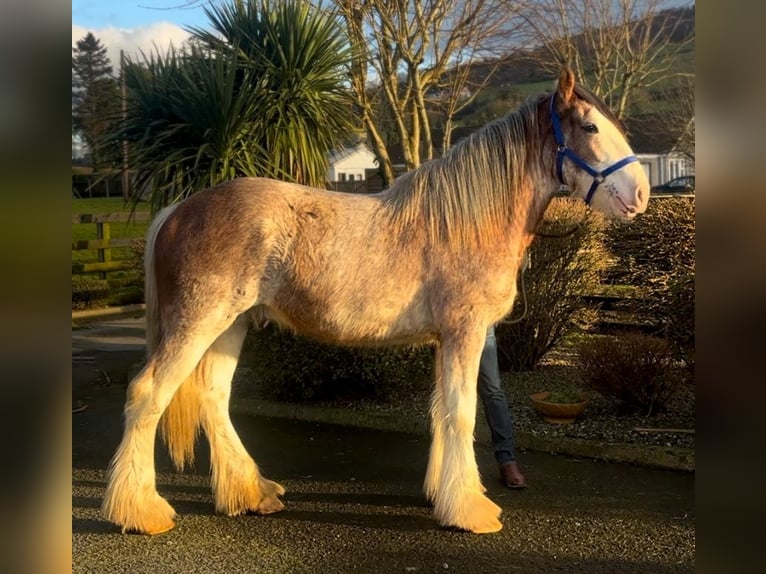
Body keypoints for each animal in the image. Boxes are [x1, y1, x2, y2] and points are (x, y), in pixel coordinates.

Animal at [102, 67, 649, 535]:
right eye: (590, 126)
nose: (640, 194)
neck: (465, 219)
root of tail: (177, 210)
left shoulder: (447, 339)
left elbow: (440, 410)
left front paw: (443, 494)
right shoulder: (465, 332)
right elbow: (462, 413)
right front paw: (470, 510)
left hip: (231, 324)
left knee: (213, 397)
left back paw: (250, 492)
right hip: (199, 323)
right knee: (147, 394)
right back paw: (142, 511)